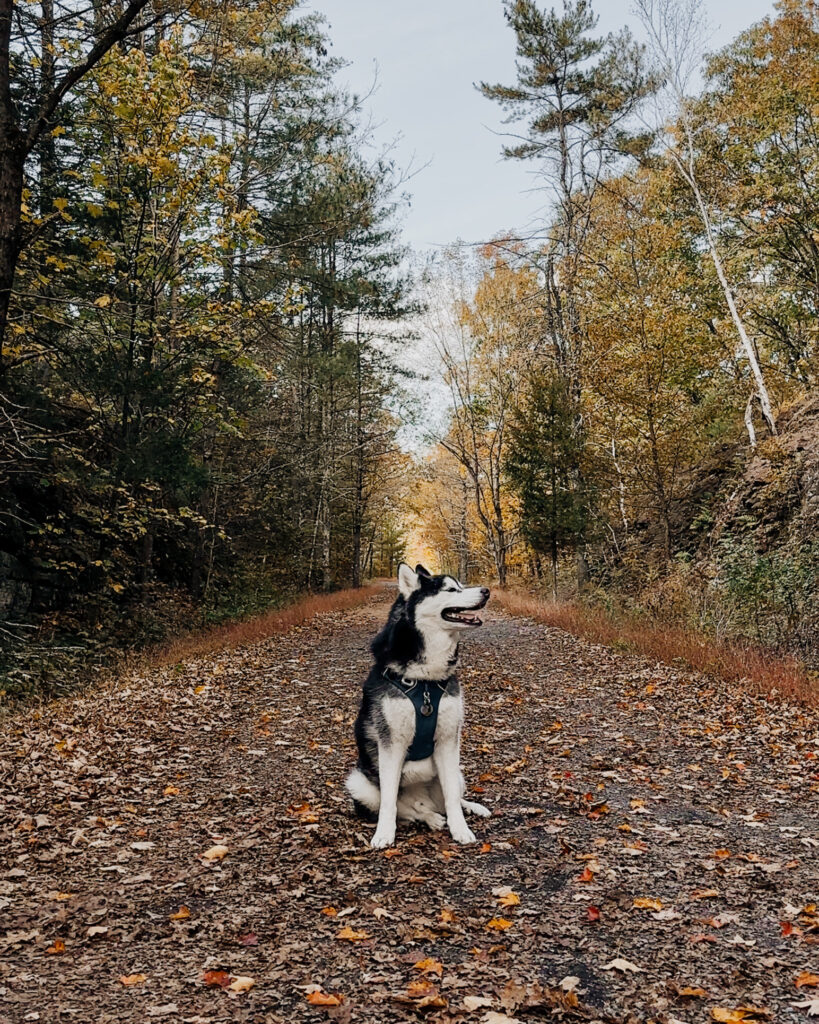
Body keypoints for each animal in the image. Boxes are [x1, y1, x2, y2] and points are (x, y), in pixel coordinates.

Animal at [348, 561, 493, 847]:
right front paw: (384, 834)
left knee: (449, 798)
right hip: (359, 782)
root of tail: (423, 799)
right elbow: (390, 801)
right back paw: (429, 818)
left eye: (461, 585)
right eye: (451, 589)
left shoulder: (448, 739)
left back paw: (468, 808)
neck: (425, 681)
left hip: (457, 772)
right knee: (407, 809)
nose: (486, 591)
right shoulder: (390, 743)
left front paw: (461, 829)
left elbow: (451, 797)